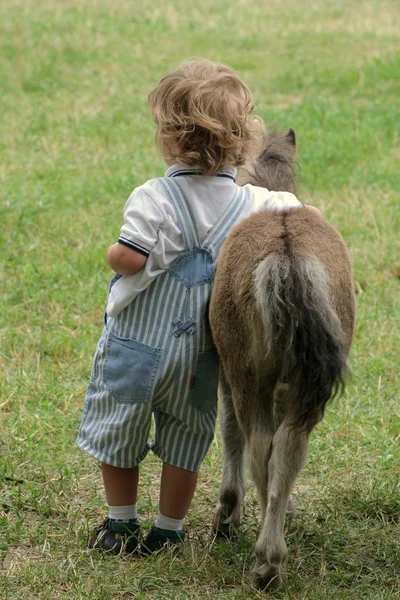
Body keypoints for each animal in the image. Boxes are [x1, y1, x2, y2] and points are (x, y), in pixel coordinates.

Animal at [209, 127, 356, 592]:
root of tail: (287, 257)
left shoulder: (227, 374)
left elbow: (230, 433)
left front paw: (228, 514)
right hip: (305, 387)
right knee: (289, 447)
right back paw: (274, 553)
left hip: (247, 375)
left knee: (261, 447)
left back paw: (265, 561)